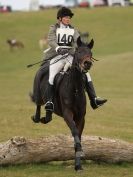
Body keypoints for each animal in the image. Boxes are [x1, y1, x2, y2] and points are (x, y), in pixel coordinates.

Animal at [30, 36, 94, 171]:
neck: (75, 88)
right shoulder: (67, 114)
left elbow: (78, 135)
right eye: (79, 52)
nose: (87, 63)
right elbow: (74, 131)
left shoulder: (81, 117)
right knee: (38, 106)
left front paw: (78, 165)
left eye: (91, 53)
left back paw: (45, 118)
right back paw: (37, 117)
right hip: (38, 94)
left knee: (48, 113)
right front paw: (79, 155)